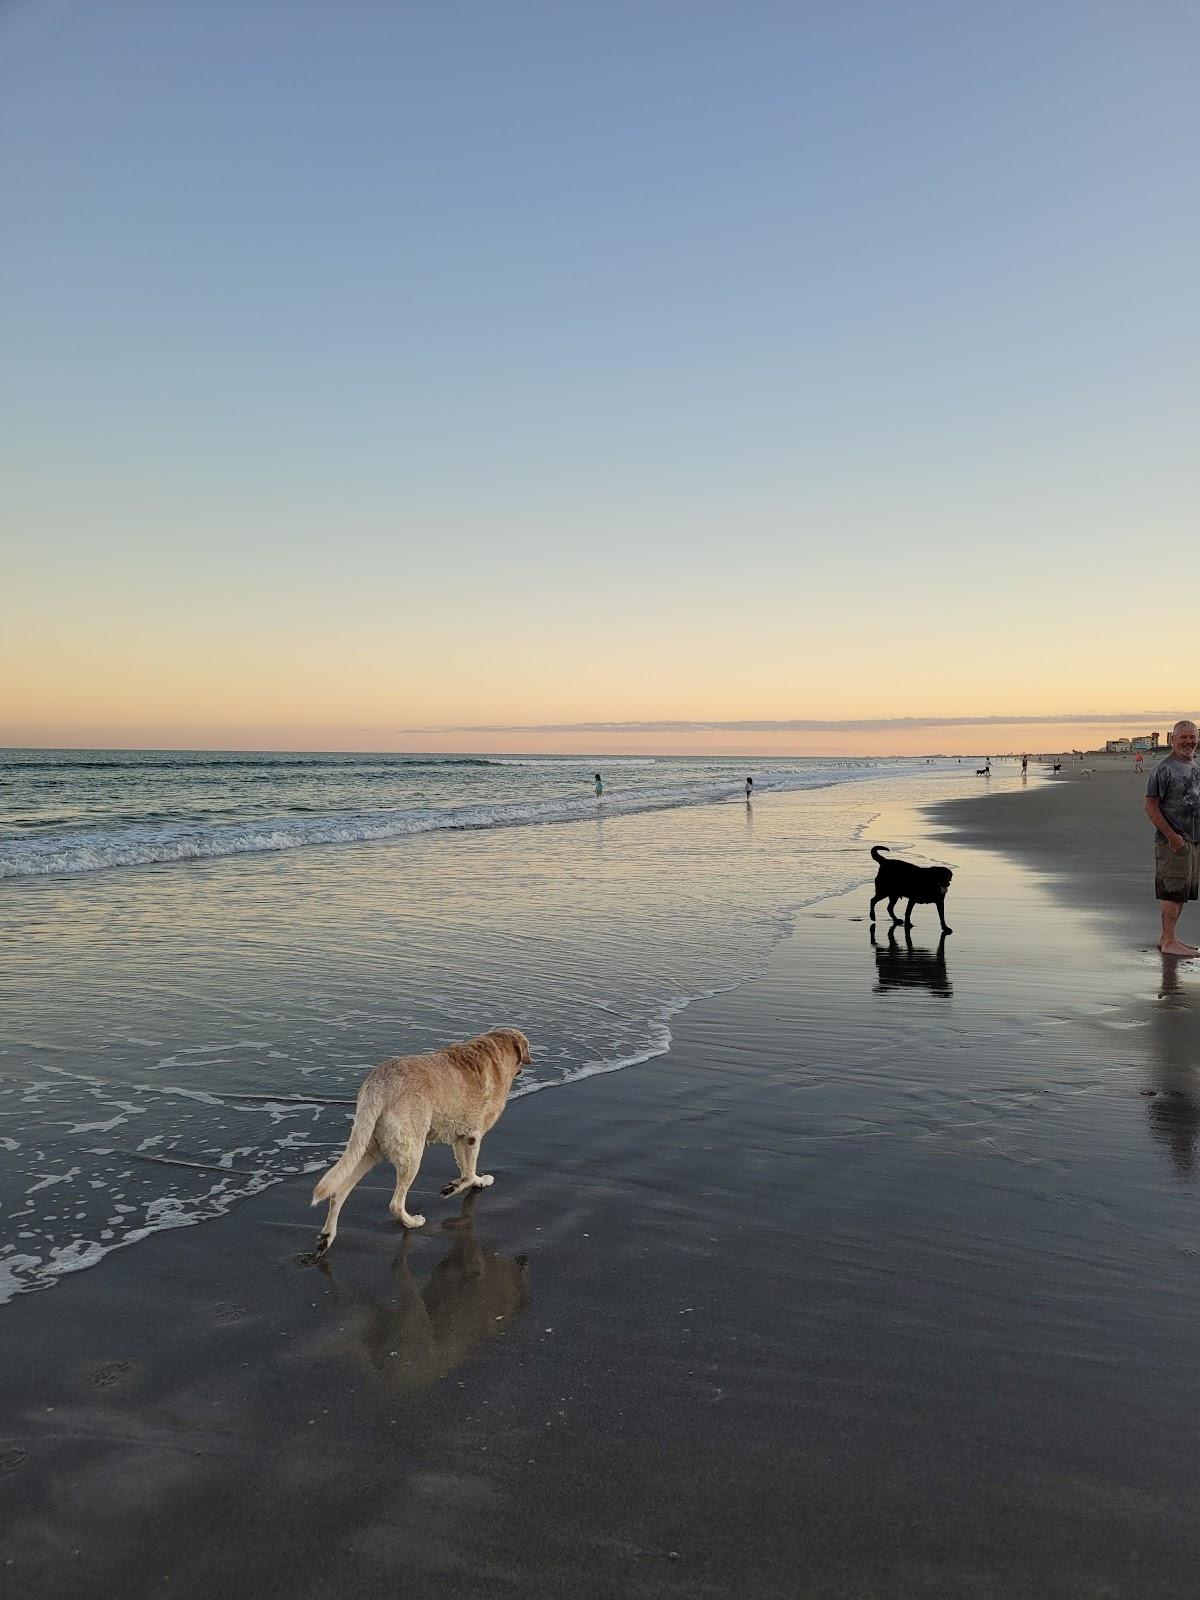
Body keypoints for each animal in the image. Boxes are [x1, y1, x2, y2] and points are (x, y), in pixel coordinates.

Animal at [312, 1024, 534, 1260]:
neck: (495, 1051)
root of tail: (379, 1085)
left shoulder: (460, 1138)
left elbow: (466, 1168)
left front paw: (474, 1182)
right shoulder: (473, 1136)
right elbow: (468, 1171)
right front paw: (456, 1187)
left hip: (368, 1148)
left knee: (337, 1193)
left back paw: (326, 1237)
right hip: (412, 1152)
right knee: (395, 1203)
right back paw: (411, 1222)